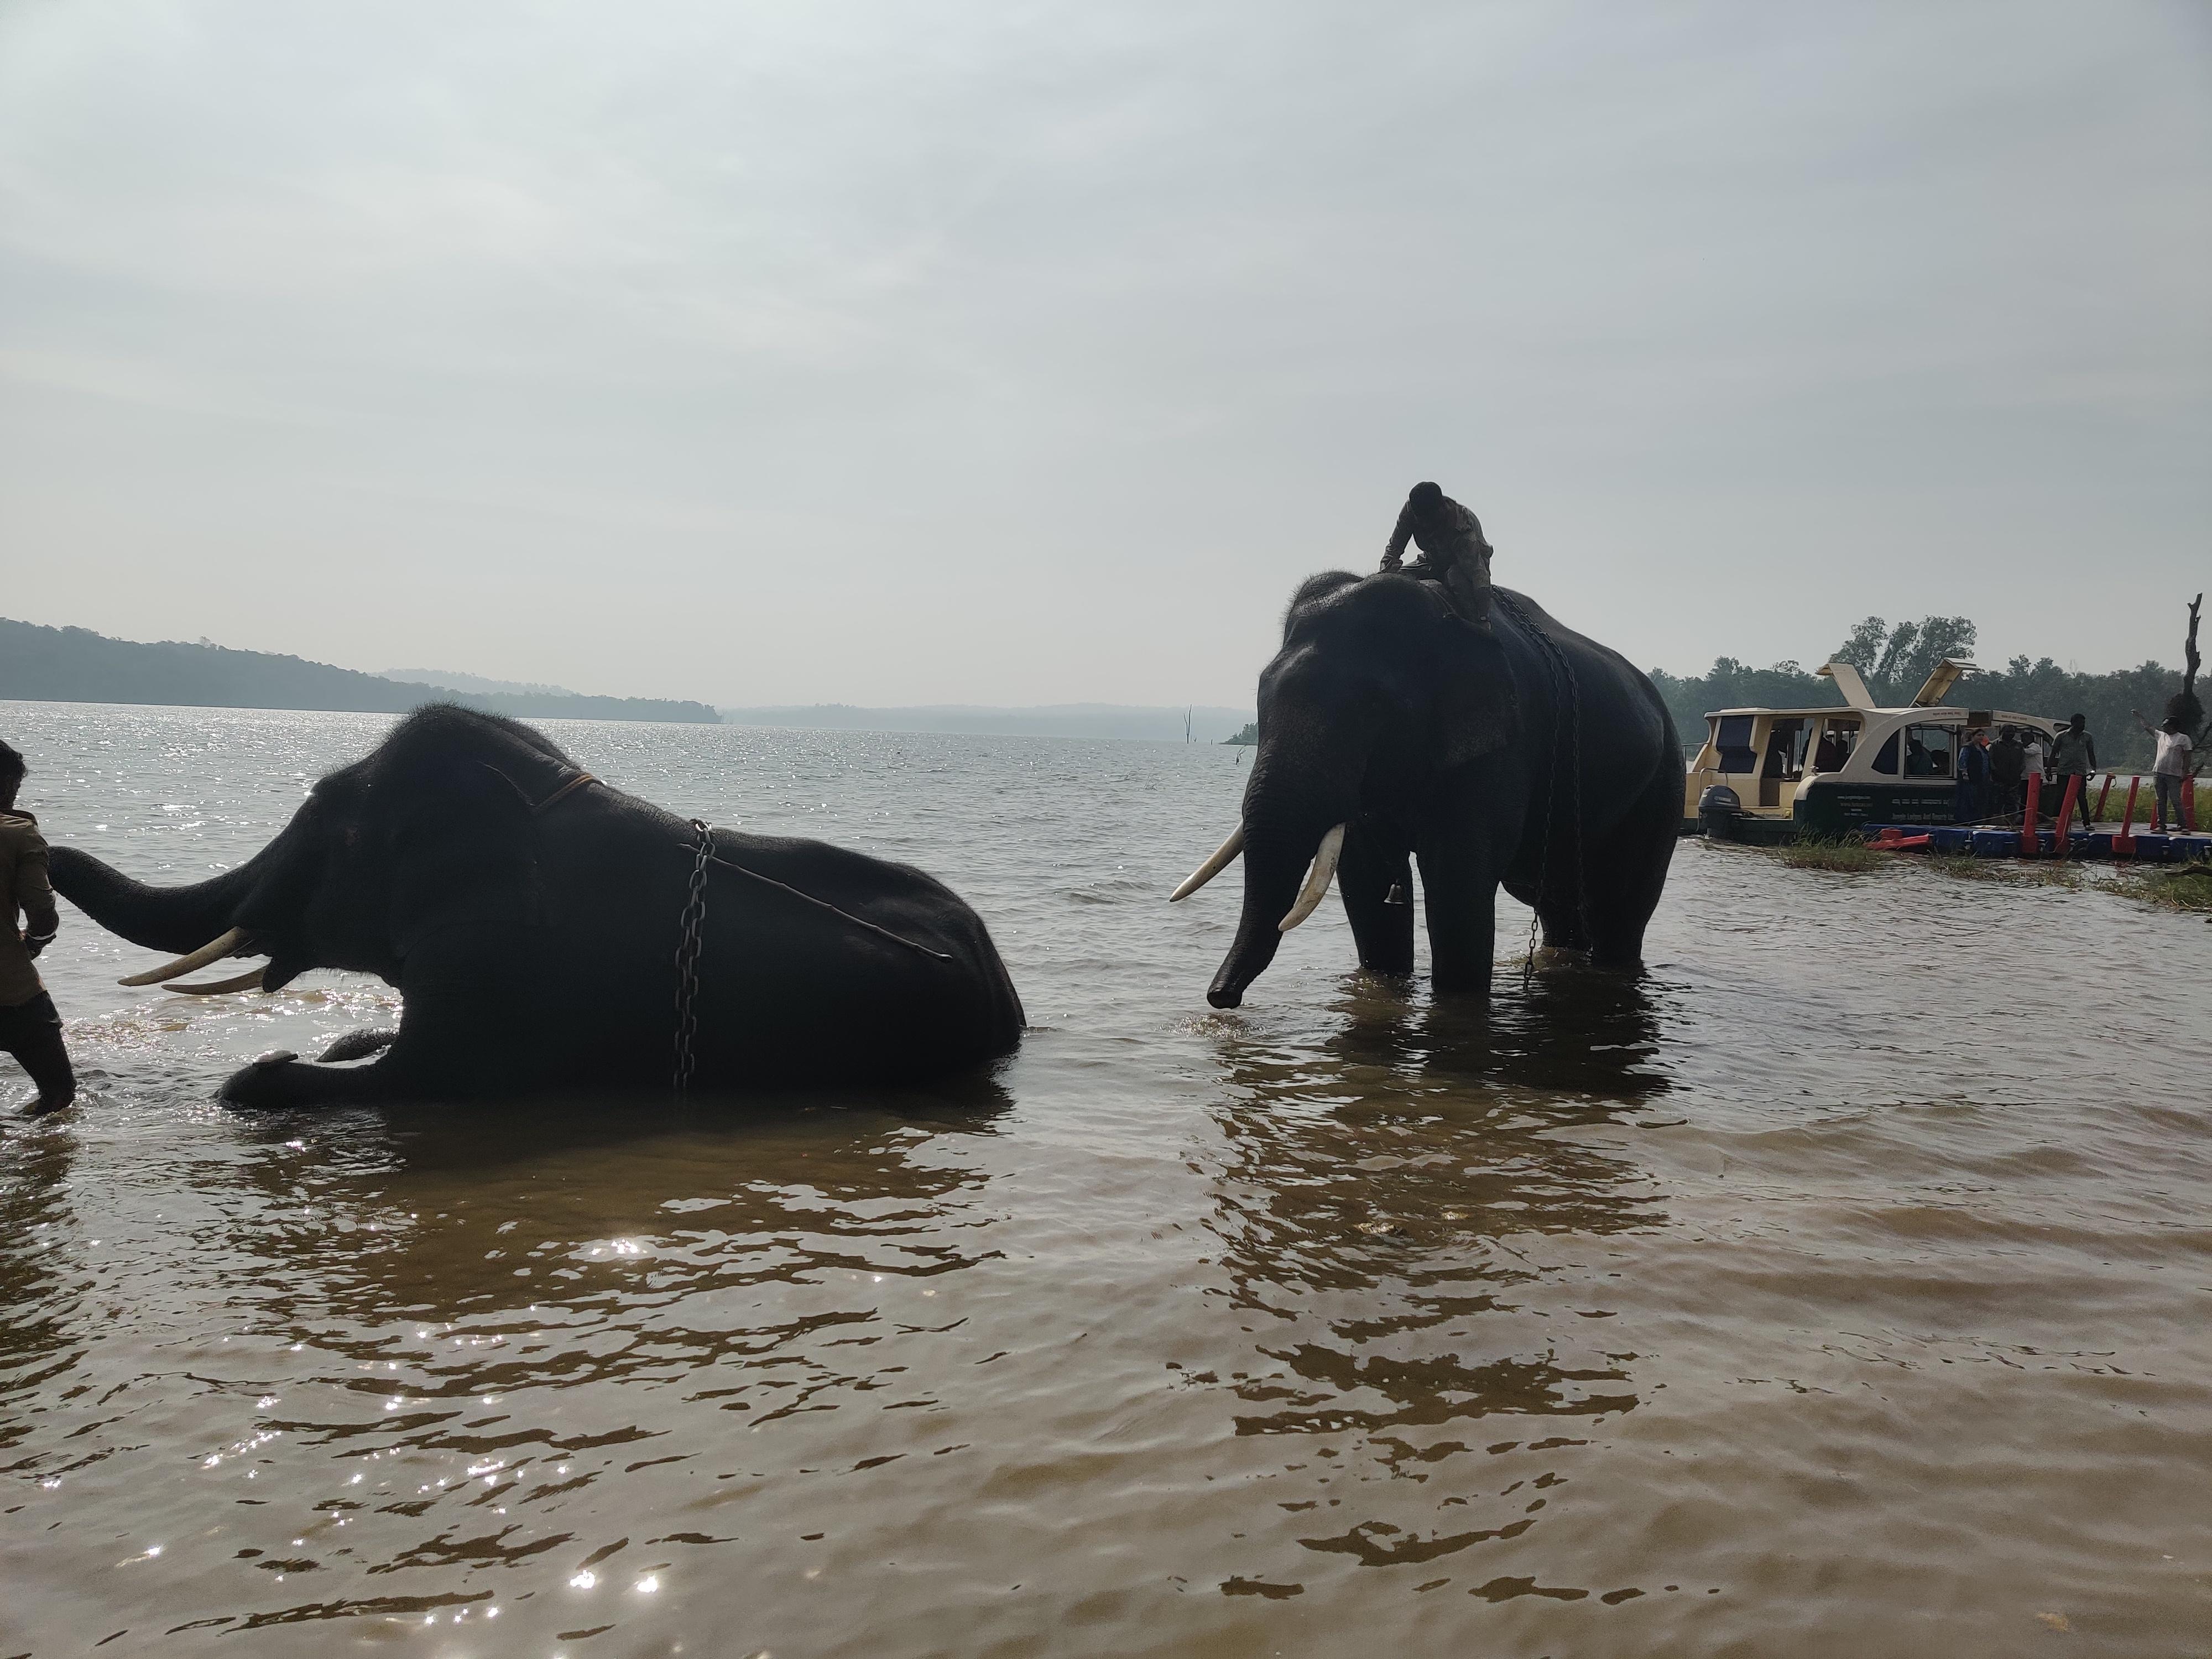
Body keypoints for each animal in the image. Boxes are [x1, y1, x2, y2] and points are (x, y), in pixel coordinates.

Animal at [49, 706, 1026, 1108]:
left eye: (331, 833)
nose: (43, 845)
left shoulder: (499, 977)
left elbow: (396, 1080)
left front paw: (275, 1066)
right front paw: (337, 1040)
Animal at [1173, 573, 1679, 1008]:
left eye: (1373, 708)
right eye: (1261, 693)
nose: (1221, 999)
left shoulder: (1503, 745)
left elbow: (1458, 879)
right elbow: (1367, 879)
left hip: (1664, 780)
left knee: (1620, 907)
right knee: (1557, 904)